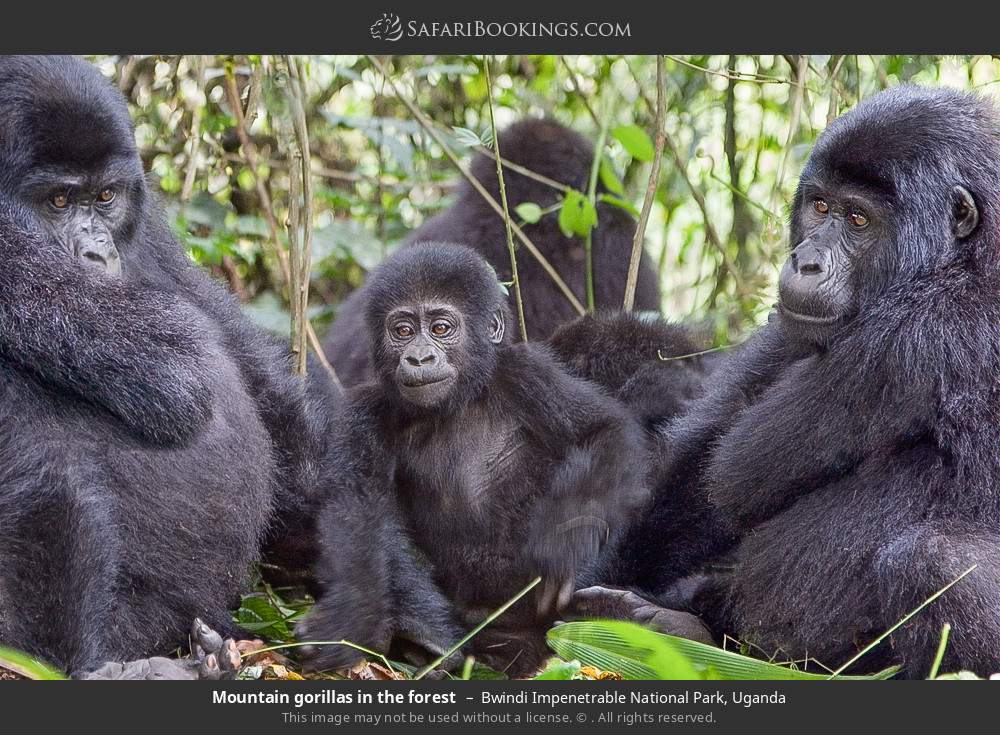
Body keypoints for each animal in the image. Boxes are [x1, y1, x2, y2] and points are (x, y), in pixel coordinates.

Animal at [0, 56, 336, 680]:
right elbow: (175, 364)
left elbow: (244, 359)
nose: (97, 253)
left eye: (105, 197)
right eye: (57, 202)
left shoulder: (146, 224)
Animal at [296, 244, 648, 676]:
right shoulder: (364, 412)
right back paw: (426, 640)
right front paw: (350, 620)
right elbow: (357, 511)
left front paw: (567, 536)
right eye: (403, 331)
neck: (457, 403)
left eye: (441, 328)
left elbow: (603, 430)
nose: (419, 358)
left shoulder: (527, 372)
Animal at [588, 86, 1000, 680]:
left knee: (933, 564)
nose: (805, 262)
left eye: (859, 220)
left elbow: (736, 473)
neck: (966, 254)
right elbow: (699, 460)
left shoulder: (925, 331)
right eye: (821, 206)